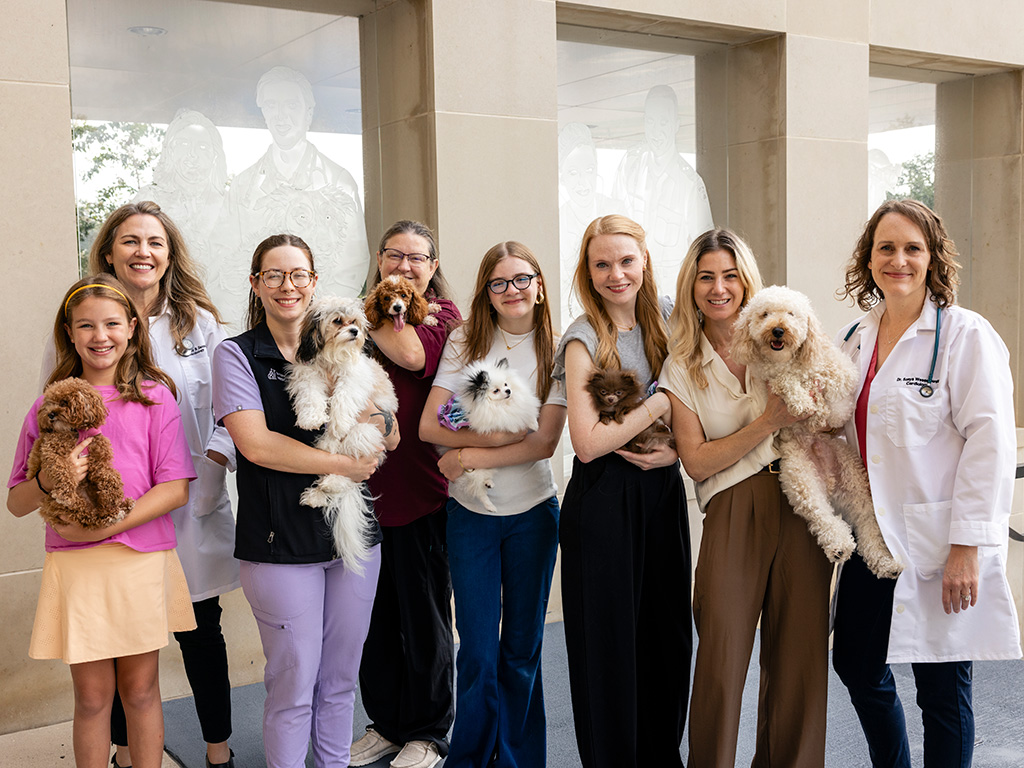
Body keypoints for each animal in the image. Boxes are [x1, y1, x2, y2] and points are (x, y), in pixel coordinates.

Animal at [27, 376, 135, 528]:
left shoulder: (98, 457)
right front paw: (64, 493)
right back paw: (111, 515)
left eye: (64, 402)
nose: (50, 414)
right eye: (48, 403)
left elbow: (110, 475)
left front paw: (114, 495)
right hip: (64, 507)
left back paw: (121, 508)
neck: (75, 432)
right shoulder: (51, 453)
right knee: (88, 515)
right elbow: (63, 470)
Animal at [290, 296, 401, 573]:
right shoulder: (308, 373)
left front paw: (338, 421)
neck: (333, 357)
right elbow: (310, 393)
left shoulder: (354, 377)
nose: (354, 332)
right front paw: (311, 417)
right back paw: (317, 494)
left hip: (365, 433)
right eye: (338, 320)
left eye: (356, 322)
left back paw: (331, 482)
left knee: (346, 472)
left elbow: (343, 396)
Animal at [450, 360, 540, 514]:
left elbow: (524, 413)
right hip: (474, 471)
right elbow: (506, 421)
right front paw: (514, 428)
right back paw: (490, 507)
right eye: (496, 390)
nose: (508, 391)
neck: (501, 405)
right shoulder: (491, 422)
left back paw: (489, 483)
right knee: (479, 491)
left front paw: (534, 424)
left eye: (506, 384)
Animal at [733, 286, 901, 581]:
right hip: (801, 480)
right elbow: (786, 382)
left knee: (868, 521)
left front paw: (819, 406)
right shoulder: (771, 383)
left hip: (855, 480)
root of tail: (830, 484)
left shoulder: (843, 377)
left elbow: (829, 387)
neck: (788, 361)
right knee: (824, 517)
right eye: (765, 314)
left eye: (791, 314)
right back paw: (839, 547)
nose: (778, 330)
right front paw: (803, 402)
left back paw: (884, 561)